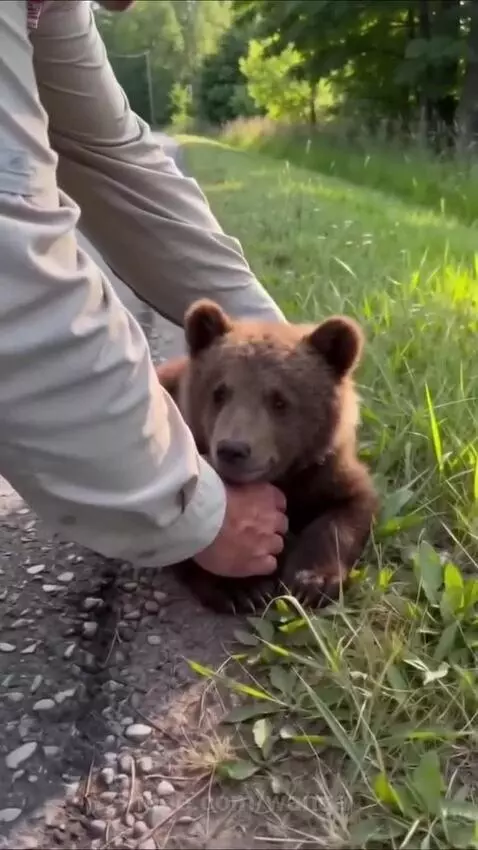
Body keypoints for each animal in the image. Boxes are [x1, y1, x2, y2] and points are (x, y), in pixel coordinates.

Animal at [155, 298, 378, 615]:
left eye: (279, 400)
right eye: (219, 392)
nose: (233, 449)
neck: (283, 479)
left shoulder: (324, 468)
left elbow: (347, 509)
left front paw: (310, 581)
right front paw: (241, 587)